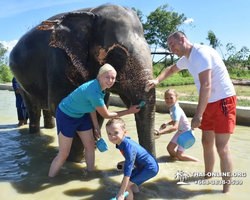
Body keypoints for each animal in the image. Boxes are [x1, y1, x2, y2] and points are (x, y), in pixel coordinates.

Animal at [9, 3, 156, 162]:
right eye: (118, 54)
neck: (91, 12)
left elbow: (99, 111)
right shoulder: (59, 60)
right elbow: (60, 106)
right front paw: (76, 160)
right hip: (20, 82)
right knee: (33, 108)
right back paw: (34, 135)